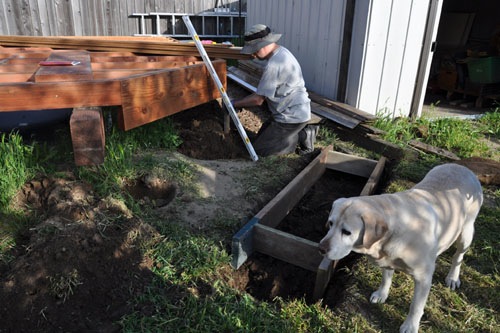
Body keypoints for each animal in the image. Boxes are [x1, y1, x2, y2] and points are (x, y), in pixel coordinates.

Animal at [318, 163, 482, 332]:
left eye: (347, 232)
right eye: (330, 223)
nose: (321, 248)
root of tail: (462, 167)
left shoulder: (424, 276)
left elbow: (416, 306)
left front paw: (410, 326)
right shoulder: (386, 259)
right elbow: (386, 278)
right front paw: (381, 294)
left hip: (466, 232)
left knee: (458, 256)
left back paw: (453, 277)